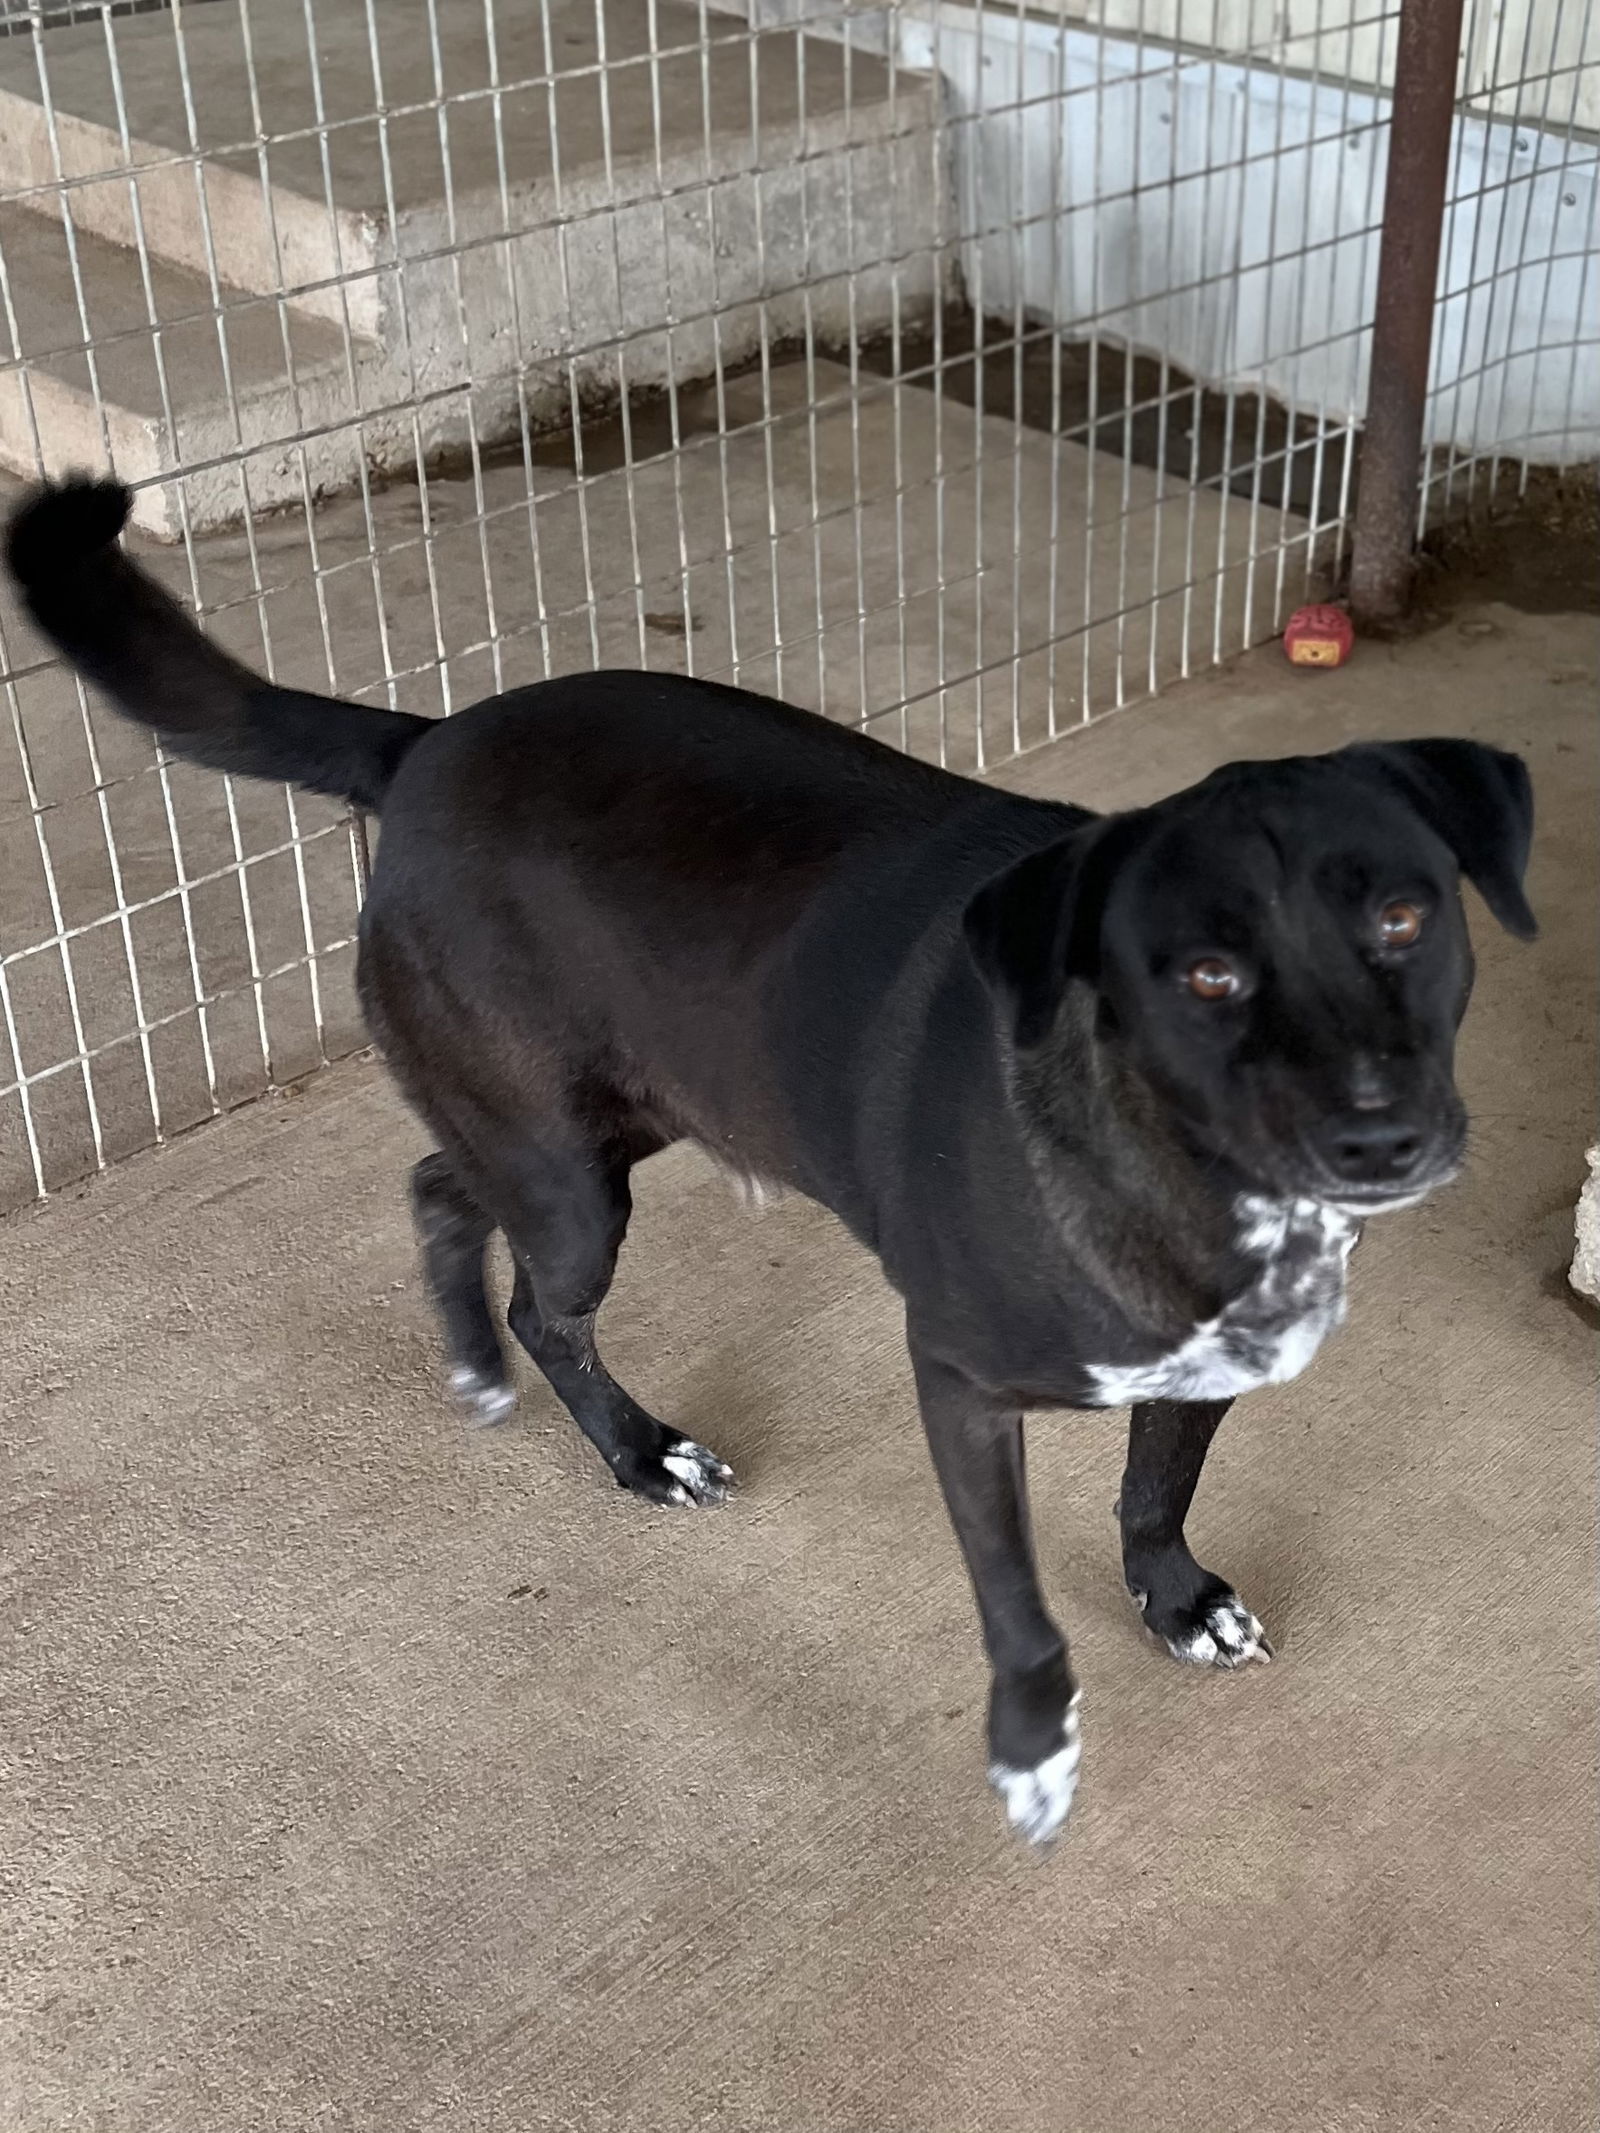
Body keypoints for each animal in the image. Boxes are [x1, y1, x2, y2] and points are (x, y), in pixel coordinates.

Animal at [15, 479, 1544, 1834]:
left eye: (1405, 916)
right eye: (1207, 974)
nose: (1380, 1137)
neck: (1169, 1158)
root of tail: (429, 739)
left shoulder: (1207, 1360)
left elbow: (1155, 1487)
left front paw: (1174, 1600)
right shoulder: (957, 1383)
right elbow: (1014, 1595)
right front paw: (1034, 1744)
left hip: (597, 1122)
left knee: (442, 1183)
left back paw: (471, 1356)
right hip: (571, 1179)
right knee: (538, 1294)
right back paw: (635, 1450)